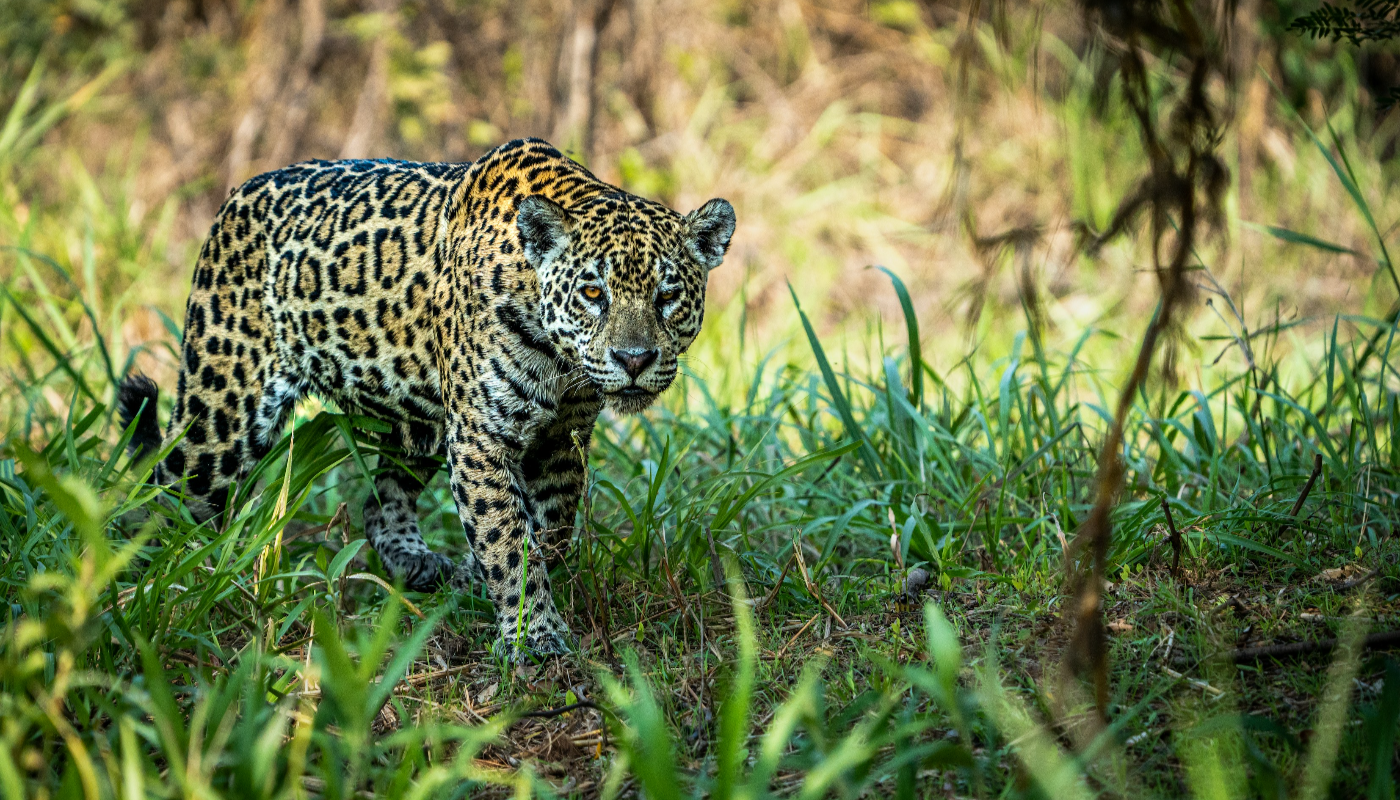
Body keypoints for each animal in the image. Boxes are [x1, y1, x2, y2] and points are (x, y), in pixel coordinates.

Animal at [117, 138, 735, 658]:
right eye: (592, 292)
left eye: (668, 296)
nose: (635, 359)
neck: (560, 361)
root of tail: (234, 196)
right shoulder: (482, 437)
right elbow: (508, 538)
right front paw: (533, 637)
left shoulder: (563, 439)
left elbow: (550, 529)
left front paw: (490, 587)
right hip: (221, 418)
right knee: (161, 497)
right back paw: (149, 592)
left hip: (418, 424)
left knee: (378, 503)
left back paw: (421, 566)